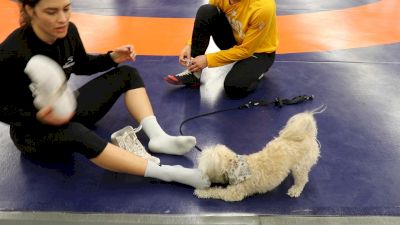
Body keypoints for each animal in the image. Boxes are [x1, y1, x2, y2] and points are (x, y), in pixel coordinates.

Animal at [194, 109, 322, 202]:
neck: (236, 166)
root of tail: (307, 135)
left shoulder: (234, 193)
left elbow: (216, 191)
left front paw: (202, 192)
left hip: (300, 167)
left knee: (303, 179)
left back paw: (295, 189)